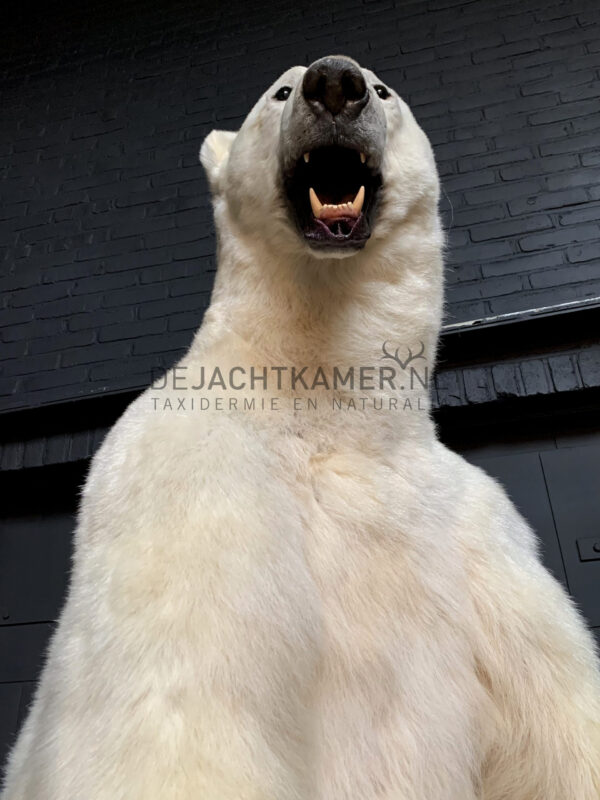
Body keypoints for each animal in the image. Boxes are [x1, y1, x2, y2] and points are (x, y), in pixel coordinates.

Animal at [1, 56, 600, 800]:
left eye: (384, 91)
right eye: (279, 92)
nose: (335, 83)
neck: (327, 400)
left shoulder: (481, 541)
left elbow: (557, 709)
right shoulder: (192, 481)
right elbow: (178, 703)